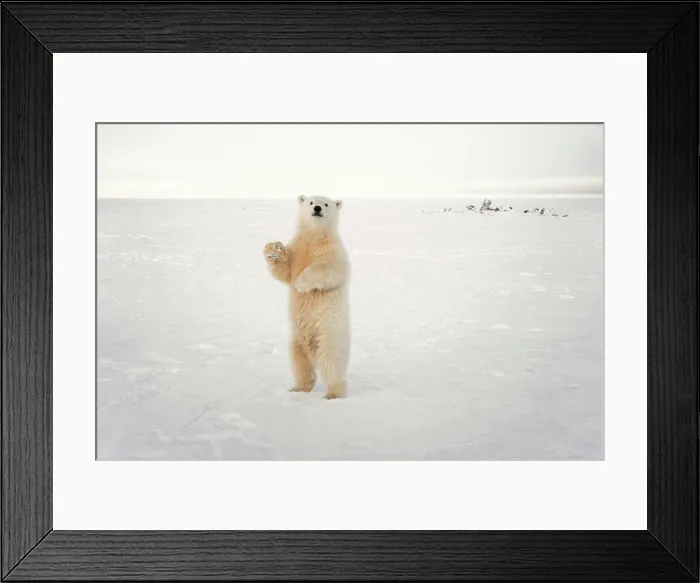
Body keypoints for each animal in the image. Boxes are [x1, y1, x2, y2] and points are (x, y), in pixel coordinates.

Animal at [263, 195, 350, 399]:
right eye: (311, 202)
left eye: (326, 204)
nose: (317, 208)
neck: (315, 236)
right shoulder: (298, 247)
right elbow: (285, 271)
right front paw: (273, 249)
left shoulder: (332, 250)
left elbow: (327, 269)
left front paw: (301, 284)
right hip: (296, 338)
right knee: (300, 361)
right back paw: (298, 387)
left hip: (329, 333)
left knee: (331, 361)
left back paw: (334, 393)